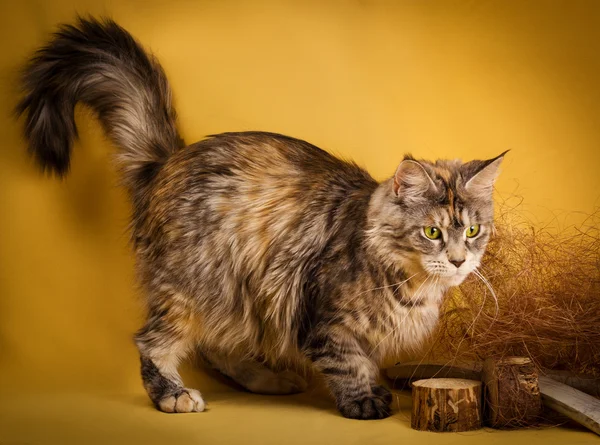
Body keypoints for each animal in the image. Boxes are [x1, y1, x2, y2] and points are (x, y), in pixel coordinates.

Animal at [16, 18, 504, 420]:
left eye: (472, 230)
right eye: (433, 232)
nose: (459, 261)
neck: (410, 283)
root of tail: (168, 161)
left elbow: (365, 360)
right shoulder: (322, 318)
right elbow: (350, 362)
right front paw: (364, 400)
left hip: (237, 294)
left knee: (215, 348)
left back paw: (270, 379)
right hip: (197, 283)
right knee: (153, 341)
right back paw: (174, 395)